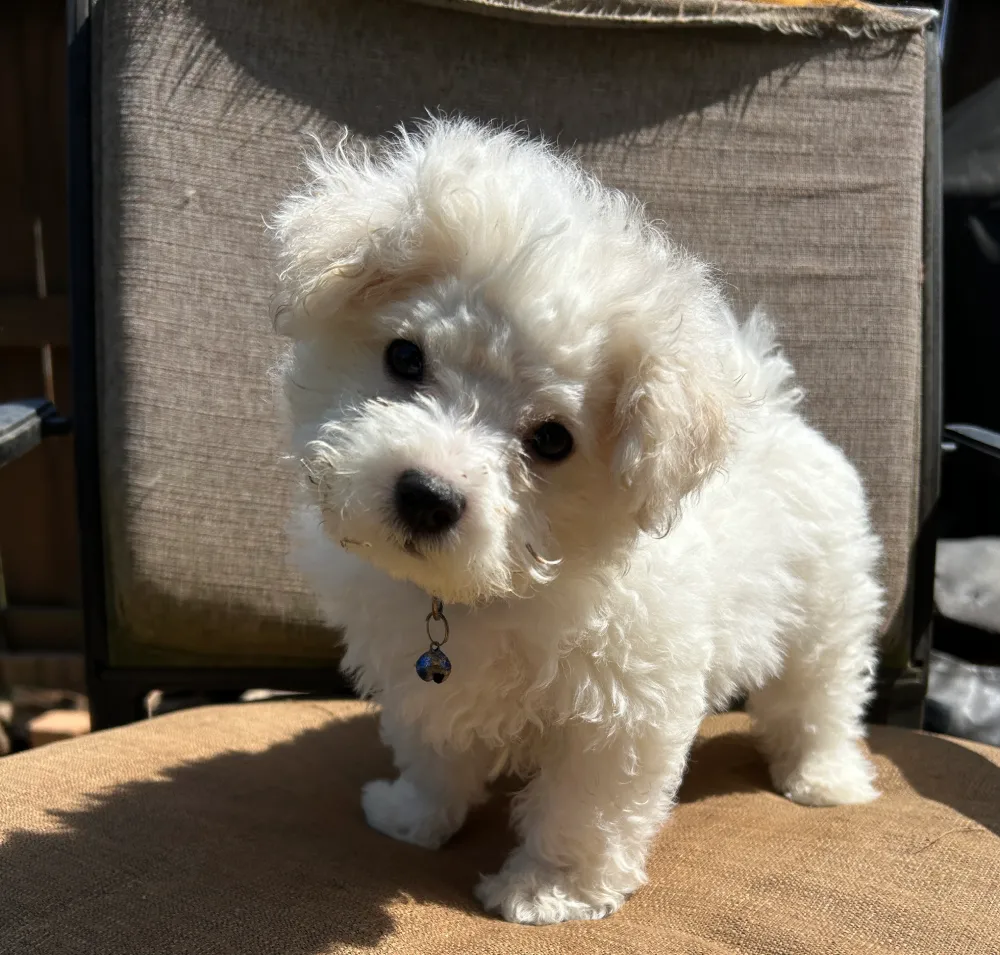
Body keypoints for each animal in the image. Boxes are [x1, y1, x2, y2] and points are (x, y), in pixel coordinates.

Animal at [271, 118, 883, 926]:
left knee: (819, 697)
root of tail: (778, 411)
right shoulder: (418, 674)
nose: (428, 494)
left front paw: (547, 888)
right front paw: (413, 815)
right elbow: (433, 747)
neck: (494, 589)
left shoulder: (622, 711)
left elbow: (582, 807)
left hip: (827, 609)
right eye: (404, 357)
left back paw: (824, 778)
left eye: (552, 440)